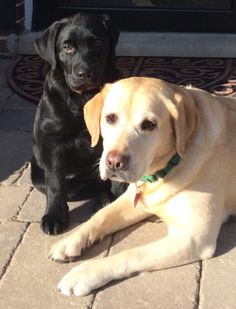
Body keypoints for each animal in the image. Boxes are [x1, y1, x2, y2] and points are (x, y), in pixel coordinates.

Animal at [30, 12, 125, 233]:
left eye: (98, 43)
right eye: (67, 47)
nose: (85, 73)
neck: (84, 97)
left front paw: (115, 200)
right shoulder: (53, 142)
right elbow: (55, 182)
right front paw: (55, 216)